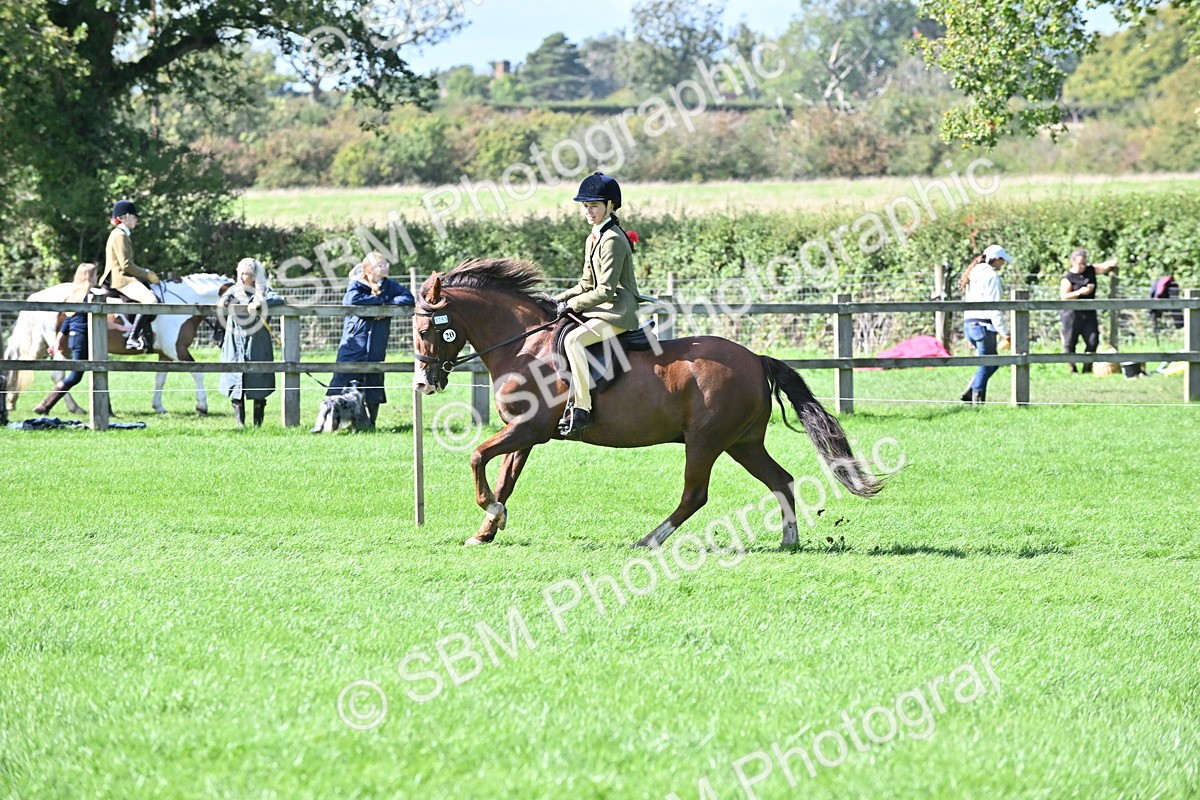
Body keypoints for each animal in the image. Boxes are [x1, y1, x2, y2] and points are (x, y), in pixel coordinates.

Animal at [3, 274, 230, 416]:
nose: (219, 339)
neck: (181, 304)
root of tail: (38, 296)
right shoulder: (176, 350)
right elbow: (197, 373)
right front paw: (202, 406)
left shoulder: (165, 354)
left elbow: (160, 378)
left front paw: (158, 406)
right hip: (61, 347)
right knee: (58, 374)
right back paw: (69, 408)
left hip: (43, 344)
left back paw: (14, 401)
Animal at [412, 258, 883, 548]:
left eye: (425, 330)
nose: (423, 383)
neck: (525, 344)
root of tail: (756, 358)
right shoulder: (523, 434)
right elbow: (504, 479)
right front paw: (487, 530)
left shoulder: (527, 430)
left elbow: (476, 457)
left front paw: (491, 513)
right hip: (742, 442)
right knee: (780, 480)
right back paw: (789, 539)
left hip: (705, 442)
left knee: (695, 495)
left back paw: (650, 539)